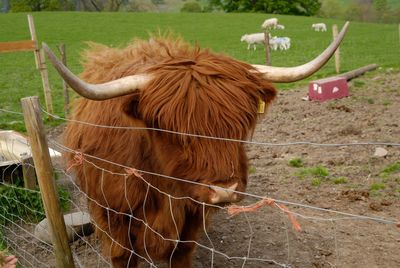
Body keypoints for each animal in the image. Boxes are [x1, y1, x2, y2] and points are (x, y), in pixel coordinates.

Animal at [44, 23, 350, 268]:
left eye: (241, 124)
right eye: (170, 129)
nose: (224, 190)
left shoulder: (190, 217)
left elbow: (181, 254)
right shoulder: (113, 216)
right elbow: (122, 256)